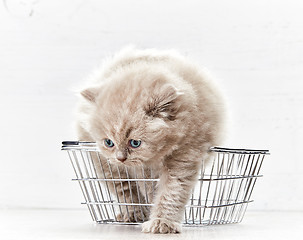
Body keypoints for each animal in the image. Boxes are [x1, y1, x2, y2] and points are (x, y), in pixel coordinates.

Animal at [76, 46, 226, 232]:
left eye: (135, 143)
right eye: (108, 142)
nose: (120, 158)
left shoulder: (185, 154)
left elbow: (170, 193)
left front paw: (161, 222)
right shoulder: (109, 164)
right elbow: (128, 191)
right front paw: (136, 214)